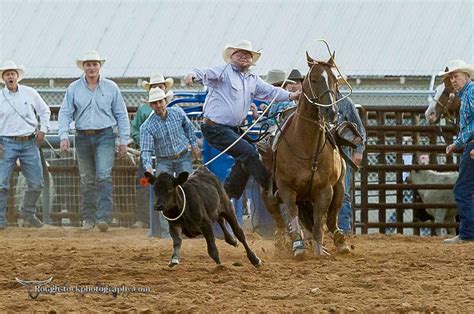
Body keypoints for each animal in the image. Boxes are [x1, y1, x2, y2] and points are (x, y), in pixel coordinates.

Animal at [262, 52, 350, 258]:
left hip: (339, 189)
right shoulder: (286, 189)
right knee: (279, 219)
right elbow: (292, 215)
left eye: (334, 80)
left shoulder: (324, 191)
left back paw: (340, 241)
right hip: (267, 193)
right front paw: (298, 245)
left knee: (332, 219)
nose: (331, 111)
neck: (306, 146)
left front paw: (319, 249)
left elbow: (318, 223)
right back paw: (282, 242)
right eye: (314, 79)